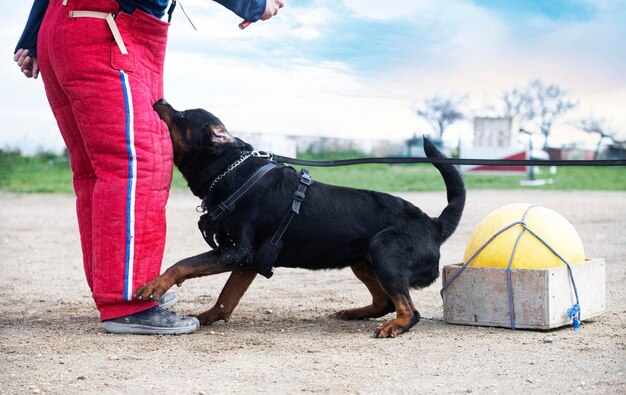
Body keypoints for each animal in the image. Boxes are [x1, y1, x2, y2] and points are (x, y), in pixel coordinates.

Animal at [140, 99, 464, 338]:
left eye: (182, 114)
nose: (161, 100)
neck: (229, 170)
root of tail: (433, 224)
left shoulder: (235, 252)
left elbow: (183, 264)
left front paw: (154, 286)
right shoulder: (248, 260)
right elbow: (226, 297)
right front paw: (207, 317)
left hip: (383, 250)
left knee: (409, 310)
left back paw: (394, 326)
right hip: (362, 259)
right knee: (384, 301)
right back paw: (355, 313)